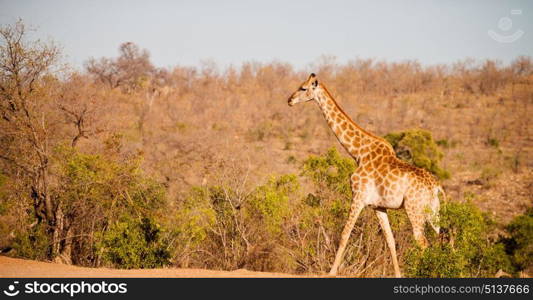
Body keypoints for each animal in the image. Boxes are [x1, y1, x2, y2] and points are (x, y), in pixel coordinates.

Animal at [284, 72, 442, 276]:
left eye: (303, 88)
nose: (289, 100)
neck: (358, 152)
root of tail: (436, 187)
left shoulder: (358, 196)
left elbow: (344, 234)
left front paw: (331, 272)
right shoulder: (378, 206)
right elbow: (390, 241)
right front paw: (397, 274)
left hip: (414, 208)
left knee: (422, 241)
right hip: (433, 211)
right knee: (441, 239)